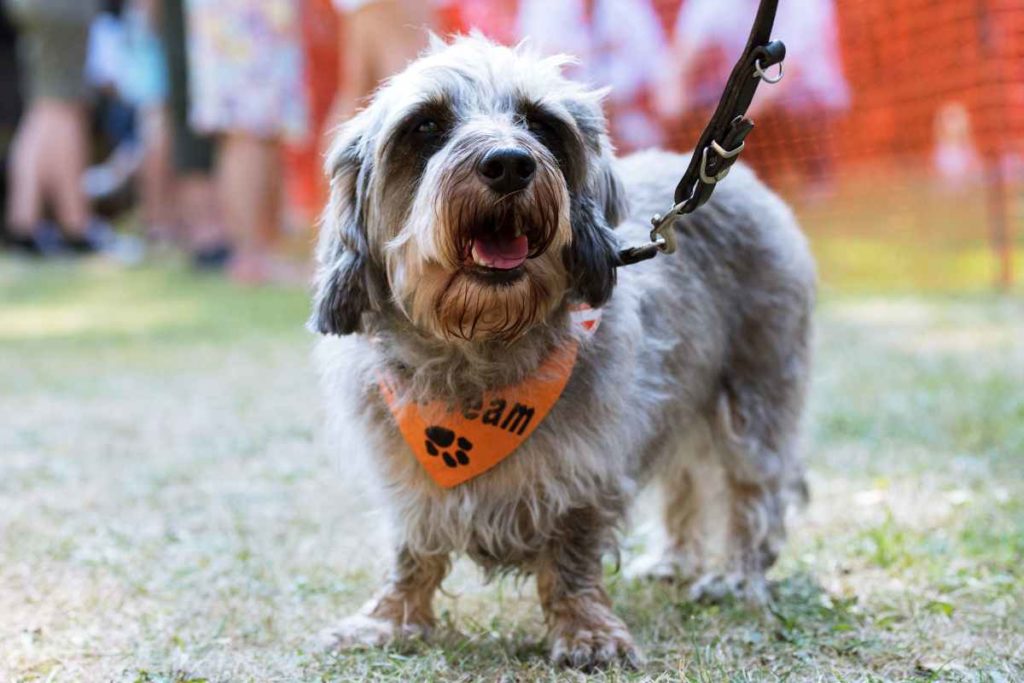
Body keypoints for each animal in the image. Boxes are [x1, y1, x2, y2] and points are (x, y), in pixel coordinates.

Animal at [311, 34, 815, 671]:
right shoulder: (406, 471)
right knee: (685, 481)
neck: (479, 355)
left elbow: (573, 553)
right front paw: (389, 620)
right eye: (425, 126)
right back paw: (674, 560)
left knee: (754, 497)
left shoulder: (588, 465)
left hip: (752, 402)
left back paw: (738, 578)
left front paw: (587, 631)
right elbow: (413, 547)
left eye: (541, 125)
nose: (509, 163)